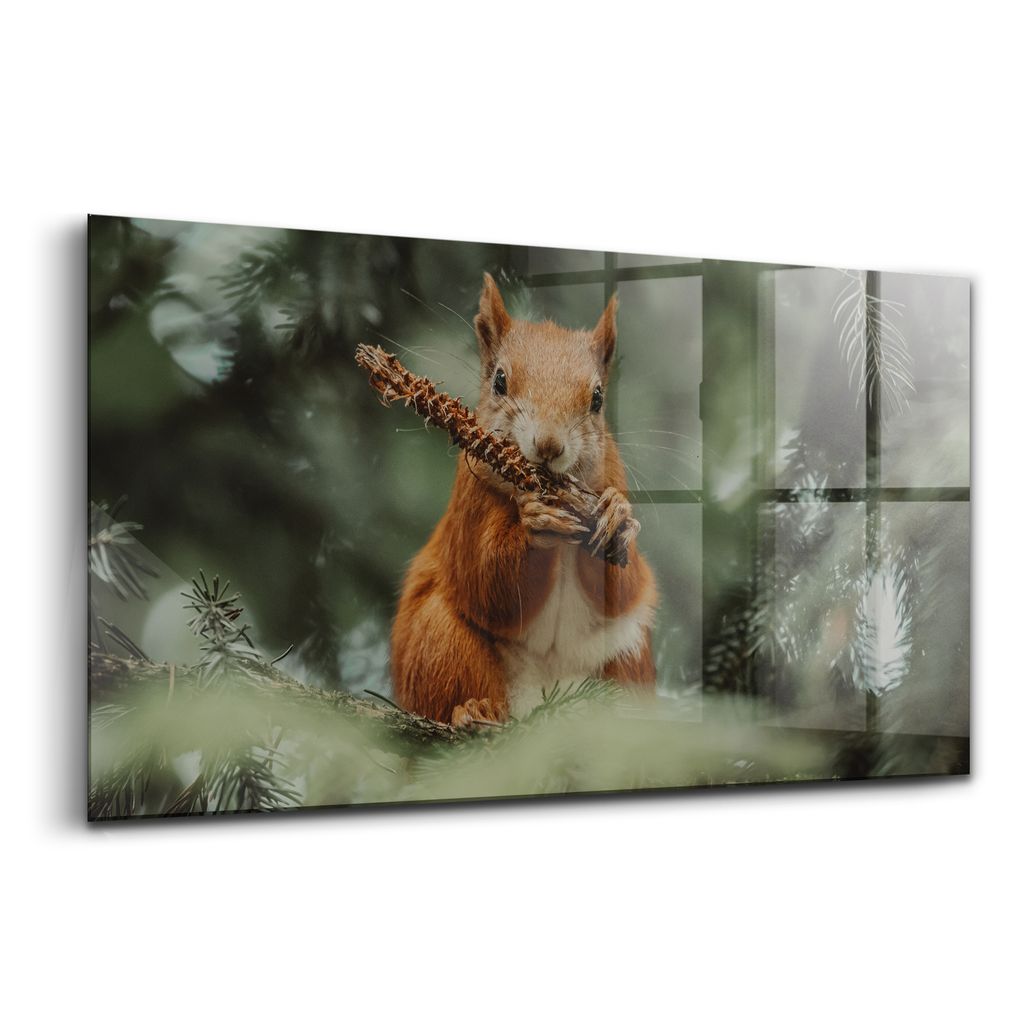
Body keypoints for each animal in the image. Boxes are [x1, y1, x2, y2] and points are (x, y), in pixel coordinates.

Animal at [390, 273, 658, 726]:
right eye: (499, 381)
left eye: (598, 399)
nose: (548, 445)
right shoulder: (470, 503)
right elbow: (488, 580)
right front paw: (536, 528)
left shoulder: (614, 481)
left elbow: (625, 588)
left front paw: (617, 518)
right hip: (438, 641)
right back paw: (475, 710)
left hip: (629, 657)